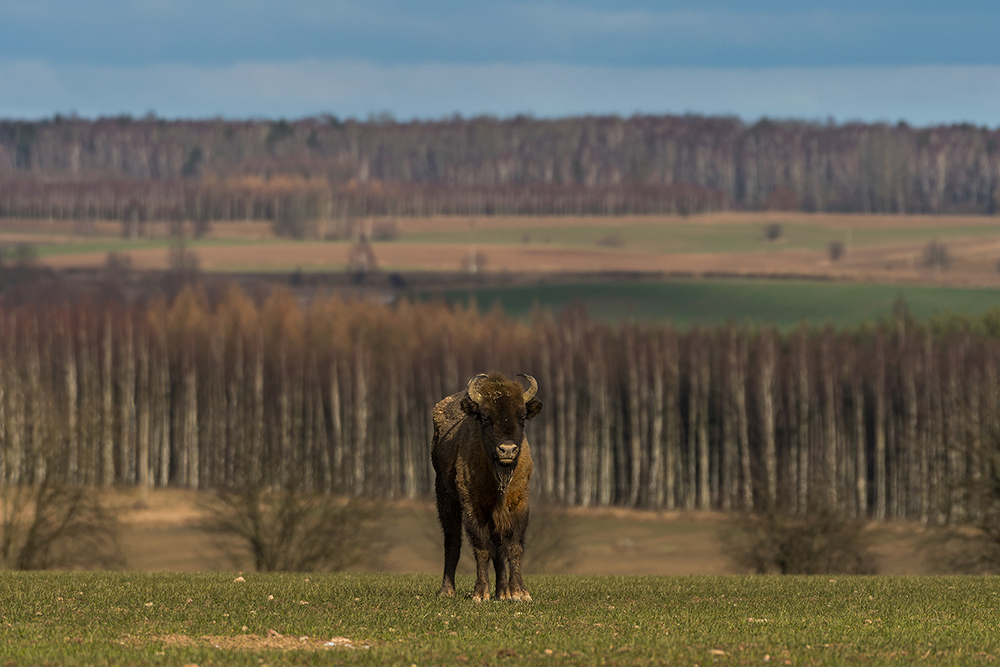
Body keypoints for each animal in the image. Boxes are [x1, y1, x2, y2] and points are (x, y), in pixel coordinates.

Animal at [428, 374, 540, 604]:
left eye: (522, 417)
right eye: (486, 418)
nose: (507, 450)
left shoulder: (519, 504)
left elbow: (513, 547)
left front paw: (519, 593)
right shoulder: (473, 506)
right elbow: (481, 548)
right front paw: (480, 593)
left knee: (498, 547)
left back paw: (503, 592)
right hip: (445, 497)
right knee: (452, 542)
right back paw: (447, 591)